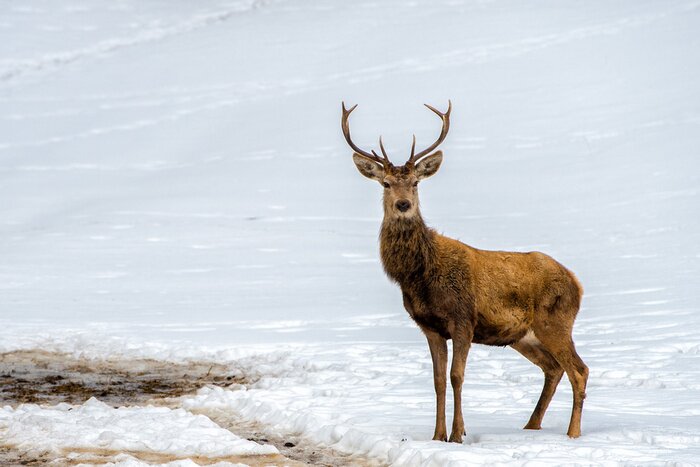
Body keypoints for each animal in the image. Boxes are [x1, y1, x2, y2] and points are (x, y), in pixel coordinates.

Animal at [341, 101, 588, 442]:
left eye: (415, 182)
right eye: (386, 183)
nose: (403, 205)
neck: (419, 276)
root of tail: (577, 283)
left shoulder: (463, 319)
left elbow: (457, 376)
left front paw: (458, 435)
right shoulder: (429, 326)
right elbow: (438, 381)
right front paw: (437, 436)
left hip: (555, 321)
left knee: (579, 370)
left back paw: (572, 433)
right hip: (523, 336)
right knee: (553, 368)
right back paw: (530, 426)